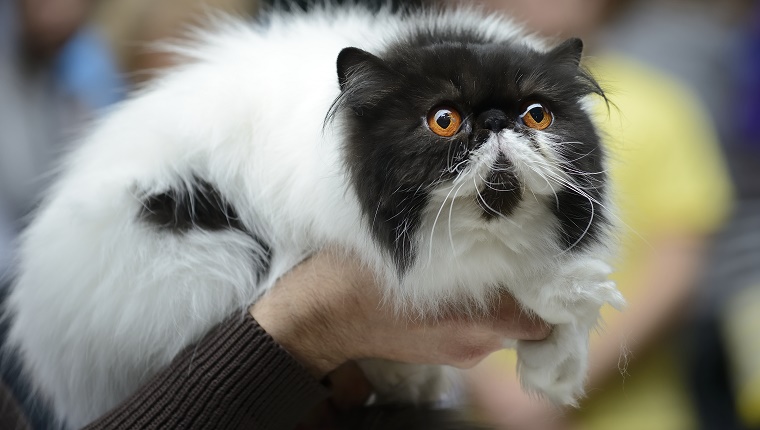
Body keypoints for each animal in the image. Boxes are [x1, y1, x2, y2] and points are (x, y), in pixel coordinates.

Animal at [4, 2, 624, 426]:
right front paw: (566, 304)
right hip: (207, 257)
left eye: (538, 115)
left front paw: (557, 367)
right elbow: (518, 285)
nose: (498, 122)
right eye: (443, 120)